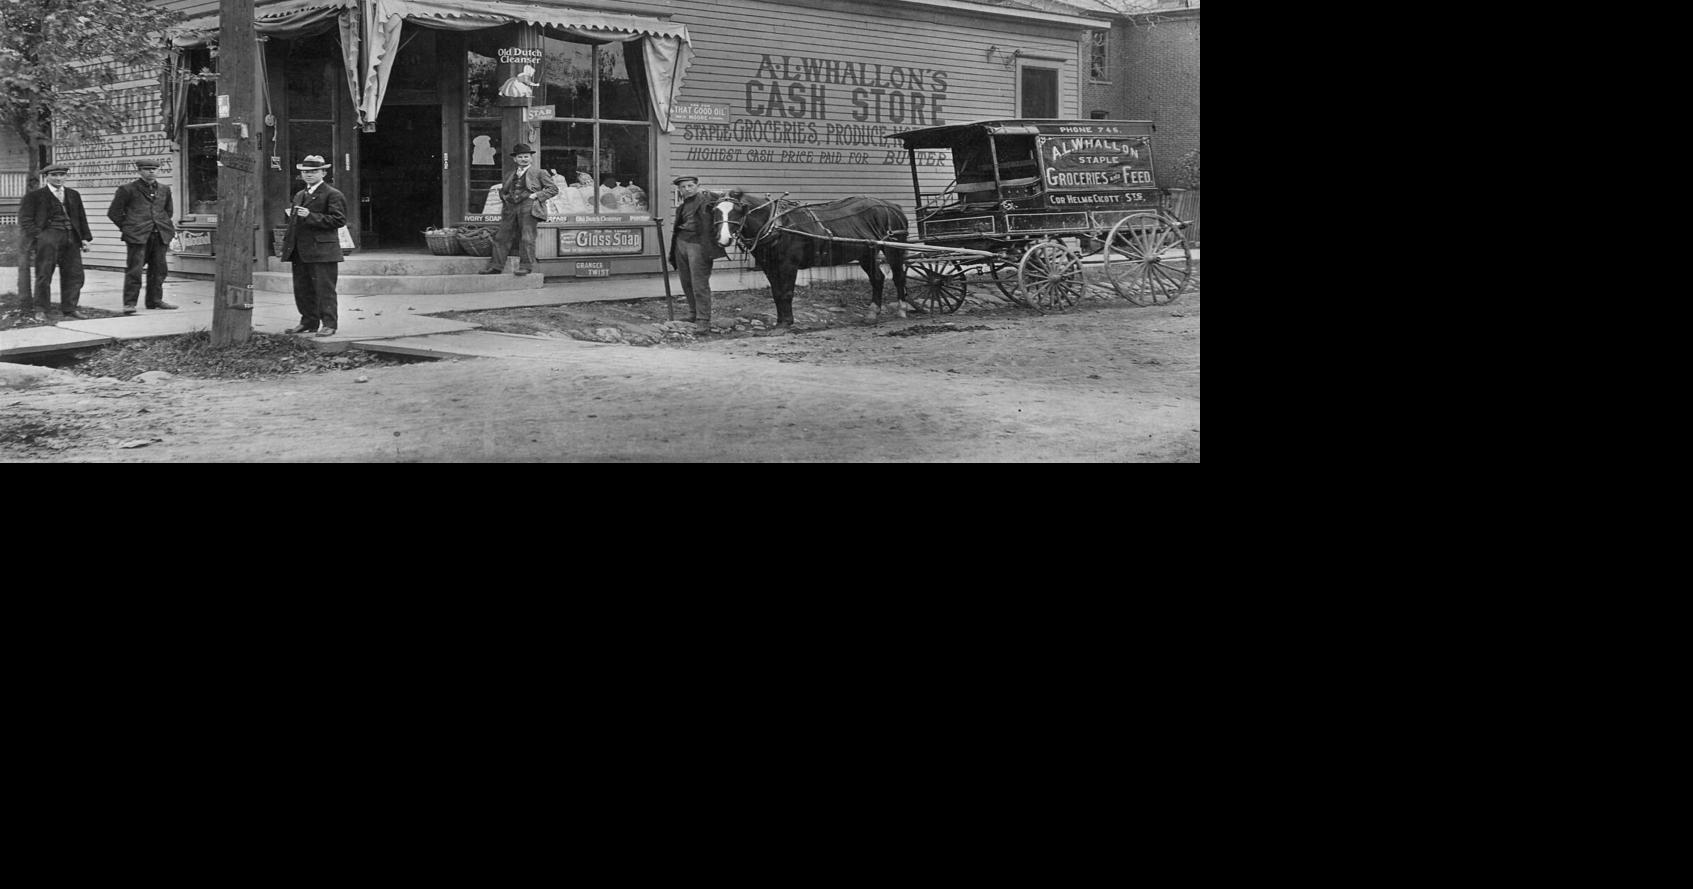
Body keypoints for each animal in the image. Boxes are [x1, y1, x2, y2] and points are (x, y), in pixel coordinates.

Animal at [717, 188, 920, 323]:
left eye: (738, 210)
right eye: (716, 211)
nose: (723, 238)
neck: (776, 224)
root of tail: (892, 206)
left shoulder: (788, 265)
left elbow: (786, 292)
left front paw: (787, 322)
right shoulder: (769, 266)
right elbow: (776, 292)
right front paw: (781, 321)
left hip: (893, 248)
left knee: (899, 277)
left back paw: (902, 309)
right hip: (867, 252)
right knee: (877, 278)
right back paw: (872, 313)